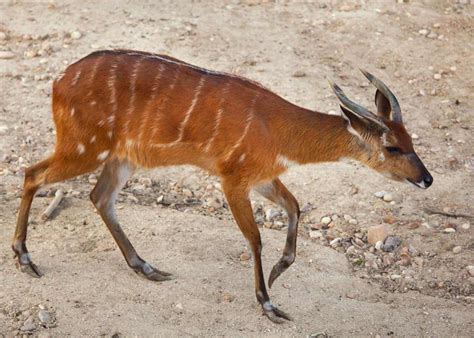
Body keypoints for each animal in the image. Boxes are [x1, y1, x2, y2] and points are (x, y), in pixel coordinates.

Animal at [12, 49, 434, 322]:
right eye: (392, 146)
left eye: (411, 139)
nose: (426, 179)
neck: (279, 131)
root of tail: (57, 82)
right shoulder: (232, 178)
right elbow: (255, 238)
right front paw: (269, 305)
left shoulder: (262, 177)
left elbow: (295, 207)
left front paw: (278, 273)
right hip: (84, 146)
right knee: (33, 174)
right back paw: (25, 259)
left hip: (121, 157)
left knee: (99, 196)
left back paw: (147, 267)